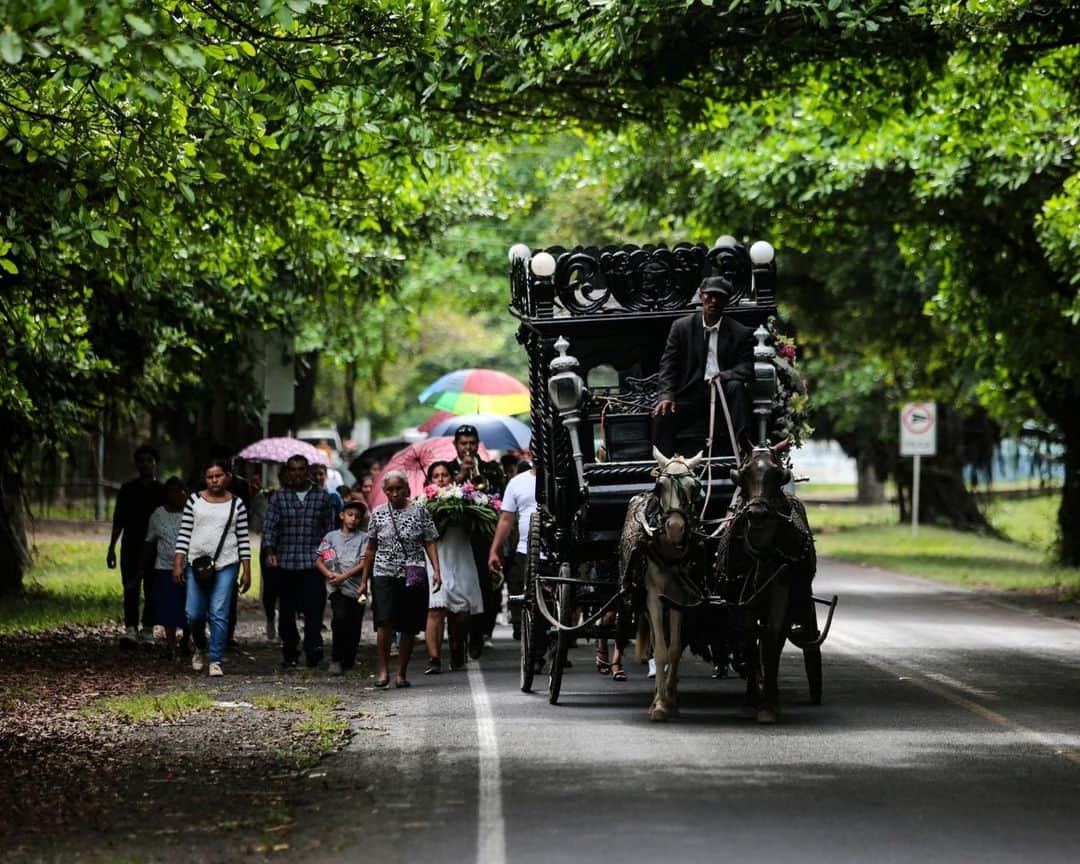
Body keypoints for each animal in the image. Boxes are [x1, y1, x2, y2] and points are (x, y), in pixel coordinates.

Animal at [630, 449, 704, 717]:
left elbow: (674, 650)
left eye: (693, 487)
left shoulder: (679, 598)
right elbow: (661, 650)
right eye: (660, 486)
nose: (674, 528)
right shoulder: (653, 595)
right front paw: (660, 704)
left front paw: (670, 698)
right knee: (654, 639)